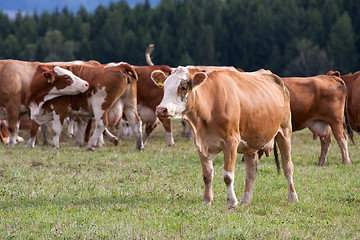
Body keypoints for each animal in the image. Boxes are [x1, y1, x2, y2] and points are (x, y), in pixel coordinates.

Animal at [152, 66, 298, 208]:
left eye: (183, 87)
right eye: (164, 87)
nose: (161, 109)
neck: (209, 109)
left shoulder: (231, 143)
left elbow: (228, 176)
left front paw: (232, 202)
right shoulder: (201, 144)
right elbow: (207, 175)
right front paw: (207, 200)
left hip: (285, 132)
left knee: (287, 166)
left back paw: (292, 197)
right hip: (251, 141)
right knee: (251, 171)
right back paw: (246, 199)